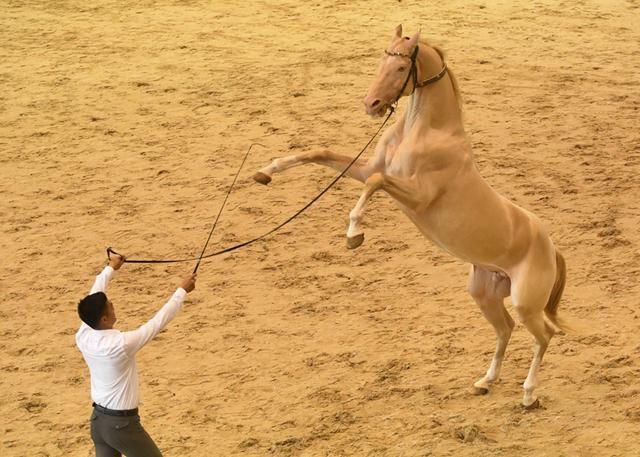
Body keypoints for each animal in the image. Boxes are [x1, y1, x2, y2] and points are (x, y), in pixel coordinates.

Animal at [252, 25, 568, 408]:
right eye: (381, 60)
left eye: (402, 68)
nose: (371, 105)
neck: (426, 131)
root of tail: (550, 247)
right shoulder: (368, 168)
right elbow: (322, 153)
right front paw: (267, 170)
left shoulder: (417, 196)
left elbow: (374, 183)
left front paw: (353, 233)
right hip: (485, 294)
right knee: (506, 329)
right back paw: (485, 381)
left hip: (526, 305)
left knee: (544, 336)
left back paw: (528, 395)